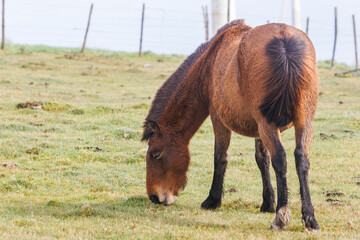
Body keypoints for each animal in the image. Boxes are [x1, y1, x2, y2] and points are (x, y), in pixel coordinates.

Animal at [142, 20, 320, 231]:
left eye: (156, 154)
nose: (154, 197)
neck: (208, 64)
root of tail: (284, 41)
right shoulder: (258, 130)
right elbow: (262, 160)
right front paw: (268, 203)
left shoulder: (218, 118)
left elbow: (220, 157)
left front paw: (212, 200)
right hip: (303, 121)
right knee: (301, 159)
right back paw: (309, 218)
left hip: (268, 124)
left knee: (281, 158)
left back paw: (281, 216)